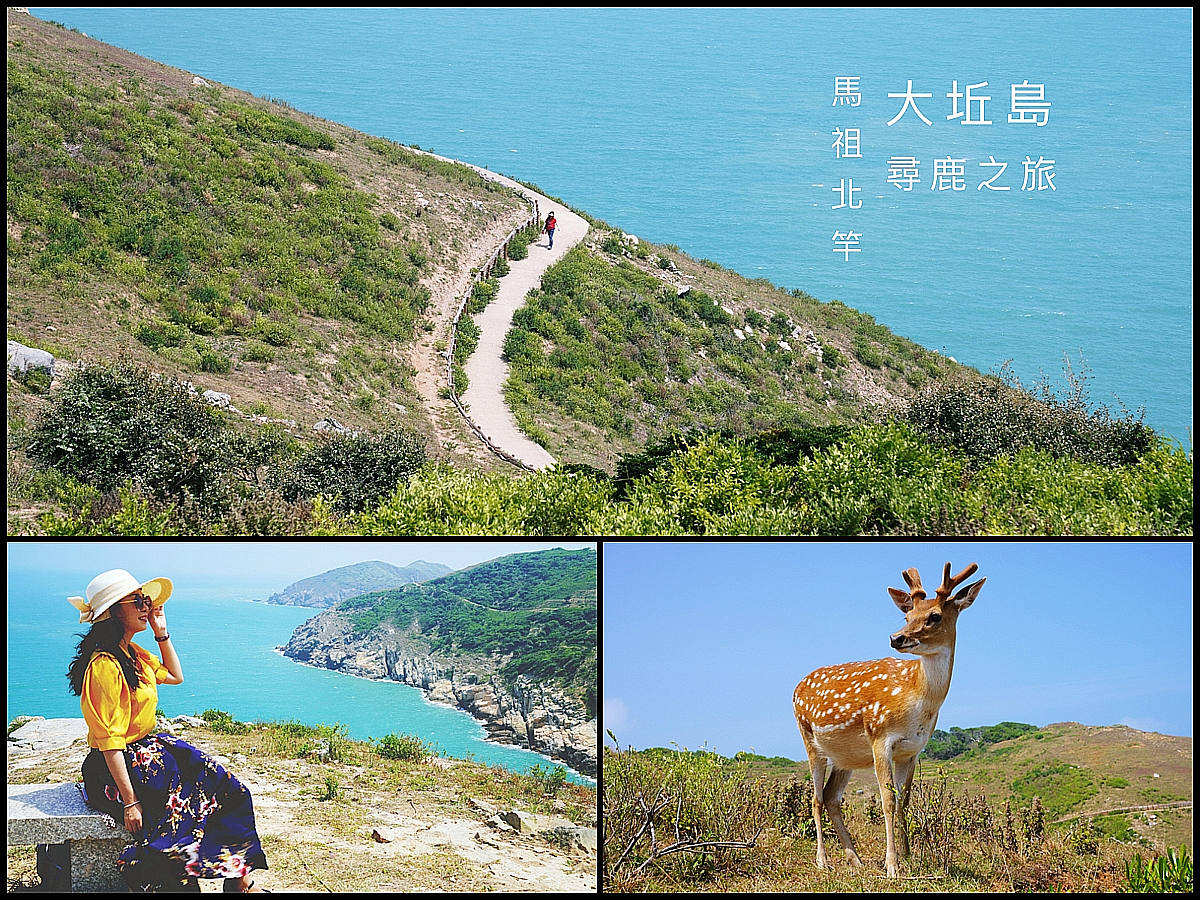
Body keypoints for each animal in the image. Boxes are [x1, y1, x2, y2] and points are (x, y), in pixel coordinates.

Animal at [791, 562, 985, 877]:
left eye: (934, 616)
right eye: (907, 615)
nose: (897, 637)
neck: (917, 699)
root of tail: (795, 687)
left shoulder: (912, 750)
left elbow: (904, 800)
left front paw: (908, 856)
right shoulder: (880, 737)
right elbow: (887, 800)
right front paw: (892, 865)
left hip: (846, 756)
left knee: (832, 796)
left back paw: (855, 858)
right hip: (809, 738)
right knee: (816, 798)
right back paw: (822, 860)